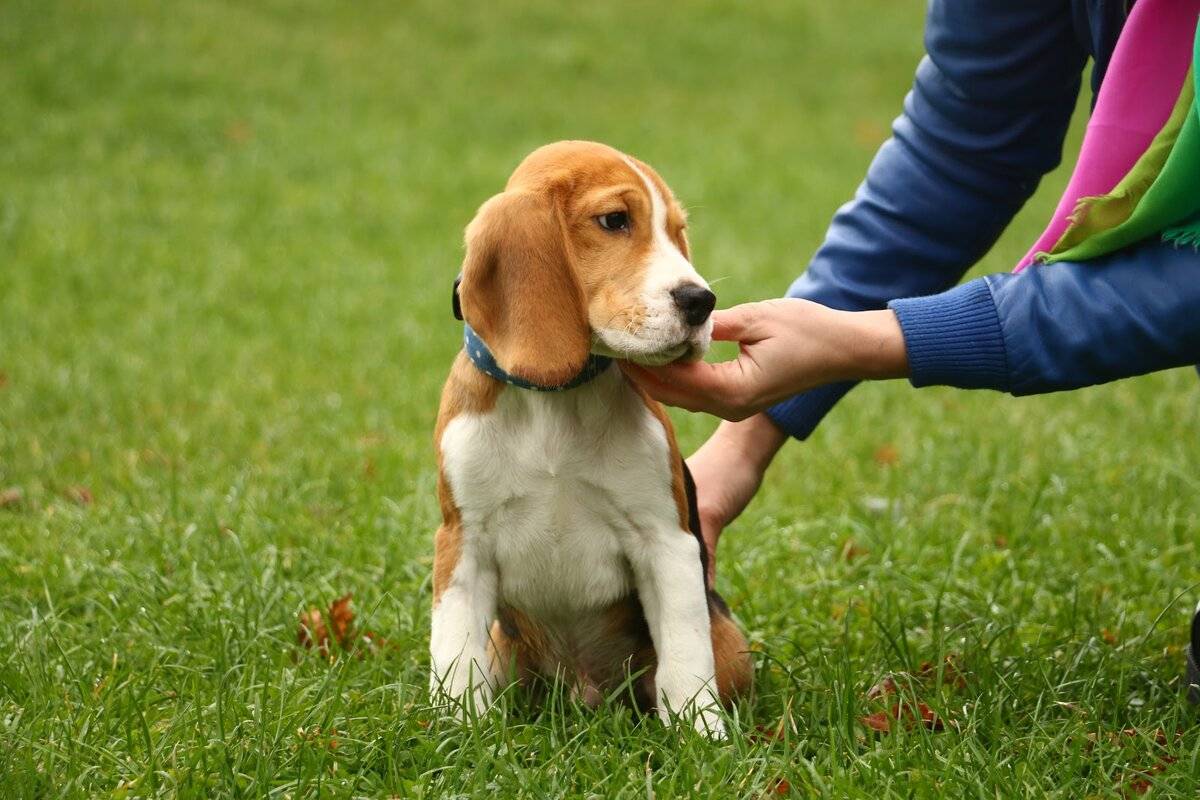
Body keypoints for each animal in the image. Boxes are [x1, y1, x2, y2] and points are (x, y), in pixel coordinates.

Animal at [432, 140, 748, 734]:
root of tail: (584, 692)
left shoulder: (667, 542)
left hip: (731, 645)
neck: (557, 399)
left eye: (676, 231)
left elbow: (685, 658)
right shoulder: (462, 545)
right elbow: (455, 657)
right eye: (615, 220)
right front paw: (457, 734)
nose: (701, 301)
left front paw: (702, 734)